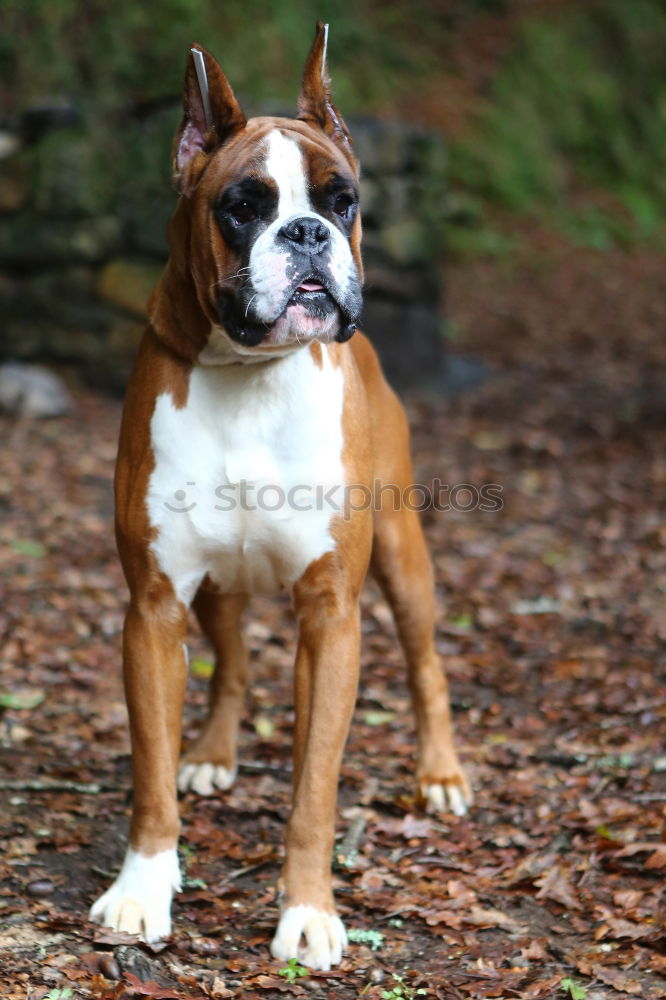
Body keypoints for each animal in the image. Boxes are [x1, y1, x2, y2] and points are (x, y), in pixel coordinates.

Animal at [91, 25, 470, 968]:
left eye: (345, 202)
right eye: (242, 207)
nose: (305, 233)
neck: (249, 374)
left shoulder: (333, 617)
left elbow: (314, 792)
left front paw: (307, 911)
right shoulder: (154, 609)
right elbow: (151, 775)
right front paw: (143, 889)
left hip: (403, 561)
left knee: (426, 664)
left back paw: (441, 772)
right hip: (216, 589)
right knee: (228, 665)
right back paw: (213, 751)